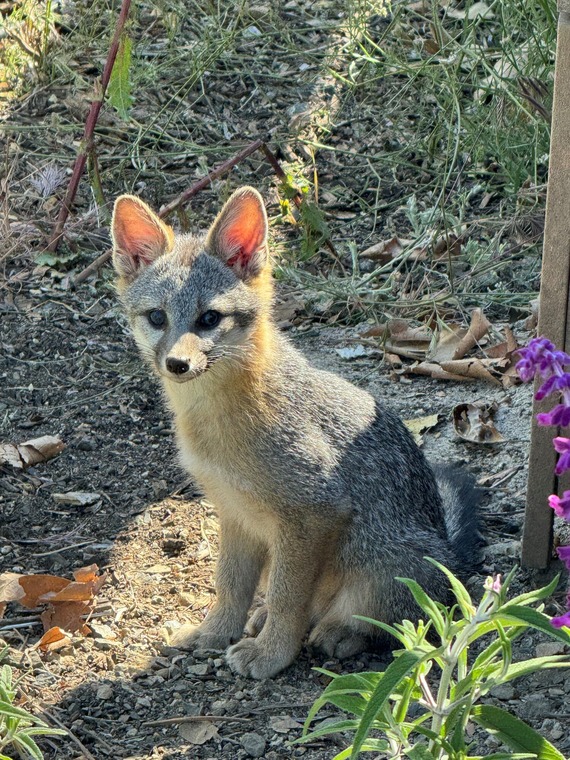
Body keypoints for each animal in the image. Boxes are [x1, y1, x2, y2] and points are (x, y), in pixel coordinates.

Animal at [111, 187, 480, 680]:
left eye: (209, 318)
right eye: (157, 317)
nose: (177, 364)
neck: (218, 426)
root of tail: (449, 551)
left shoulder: (313, 512)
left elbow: (289, 598)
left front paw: (272, 654)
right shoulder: (234, 513)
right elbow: (230, 585)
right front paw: (215, 633)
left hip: (381, 565)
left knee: (399, 620)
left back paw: (340, 631)